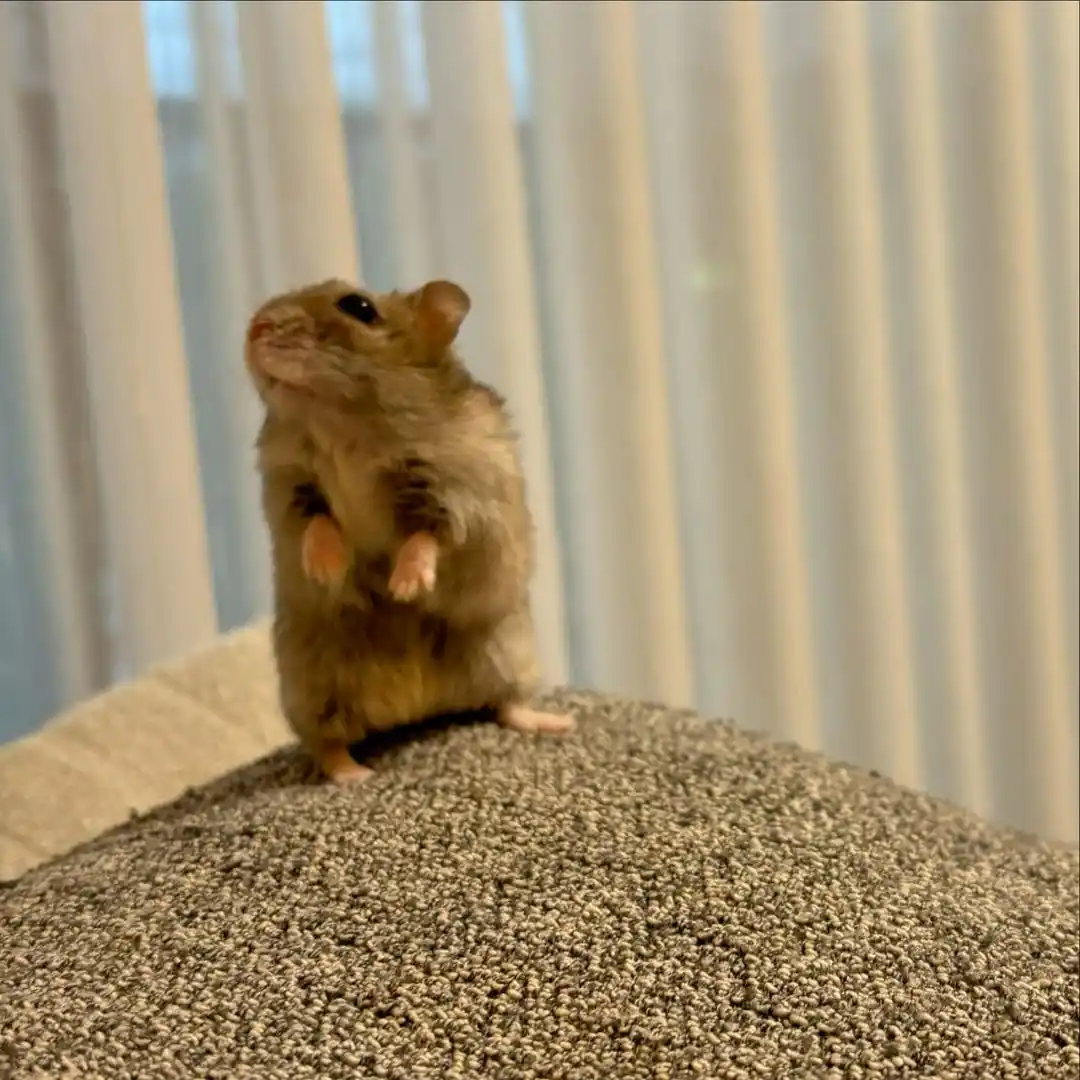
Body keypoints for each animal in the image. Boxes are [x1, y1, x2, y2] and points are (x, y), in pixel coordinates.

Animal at [244, 277, 574, 783]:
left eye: (359, 307)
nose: (255, 328)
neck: (338, 423)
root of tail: (415, 709)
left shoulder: (456, 491)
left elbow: (429, 535)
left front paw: (403, 588)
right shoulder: (289, 482)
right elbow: (315, 522)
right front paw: (327, 569)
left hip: (506, 648)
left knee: (507, 705)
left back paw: (559, 722)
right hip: (313, 686)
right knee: (328, 744)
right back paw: (355, 776)